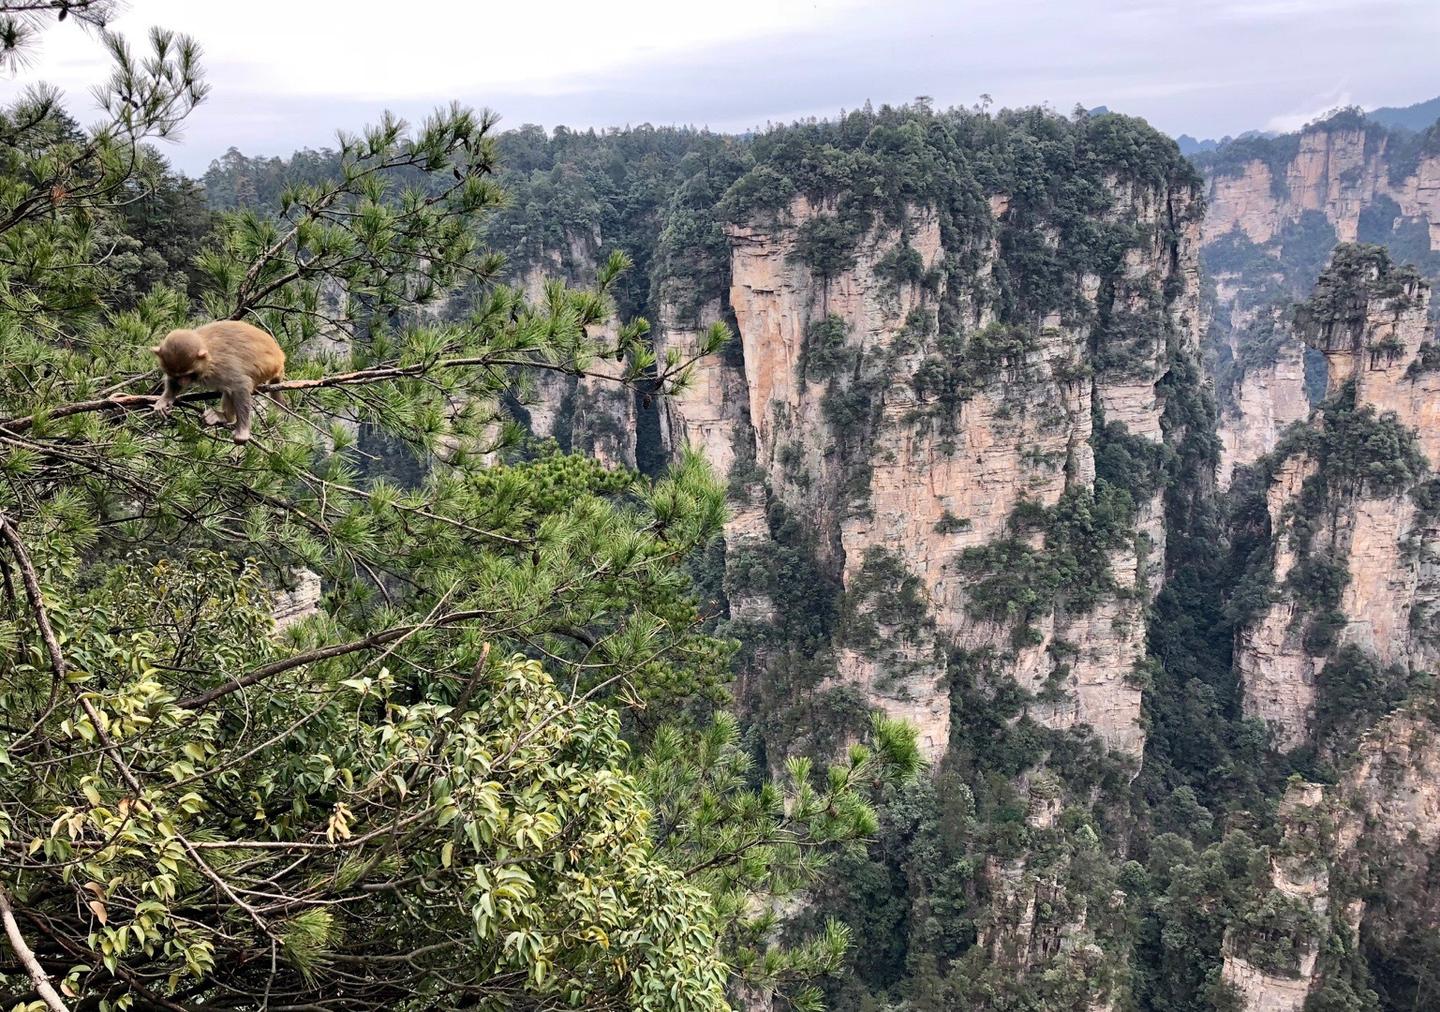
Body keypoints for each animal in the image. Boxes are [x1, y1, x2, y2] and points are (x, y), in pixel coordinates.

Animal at [152, 318, 286, 440]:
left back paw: (227, 417)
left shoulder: (221, 367)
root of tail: (280, 358)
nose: (182, 381)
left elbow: (241, 384)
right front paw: (165, 399)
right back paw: (225, 416)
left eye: (187, 374)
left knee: (233, 388)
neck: (207, 359)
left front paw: (243, 431)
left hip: (266, 368)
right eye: (177, 375)